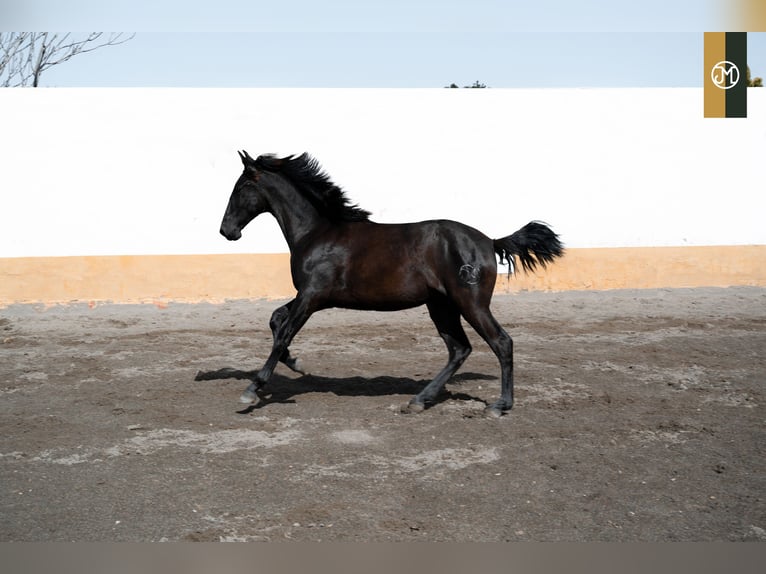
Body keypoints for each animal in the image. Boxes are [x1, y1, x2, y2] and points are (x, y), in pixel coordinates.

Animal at [220, 151, 564, 416]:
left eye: (240, 188)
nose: (227, 230)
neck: (317, 232)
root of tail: (490, 241)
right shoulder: (311, 296)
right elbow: (276, 319)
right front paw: (297, 363)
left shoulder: (312, 296)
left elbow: (283, 333)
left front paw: (253, 389)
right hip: (442, 306)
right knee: (459, 349)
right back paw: (419, 400)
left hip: (471, 303)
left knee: (501, 342)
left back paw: (499, 405)